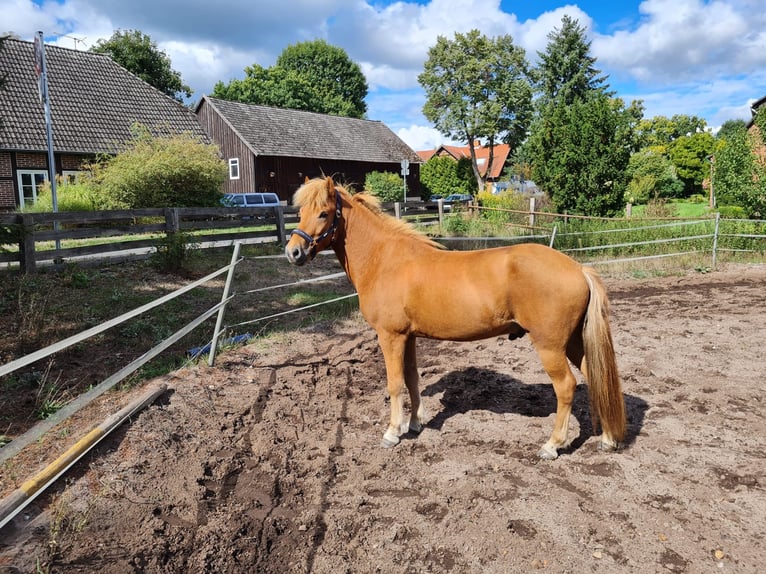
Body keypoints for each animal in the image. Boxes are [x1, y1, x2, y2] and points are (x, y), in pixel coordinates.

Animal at [284, 178, 628, 462]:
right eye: (300, 211)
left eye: (324, 213)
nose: (293, 252)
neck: (384, 260)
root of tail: (578, 269)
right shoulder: (408, 337)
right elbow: (412, 379)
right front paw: (415, 423)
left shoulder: (390, 336)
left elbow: (394, 383)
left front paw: (392, 432)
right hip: (573, 342)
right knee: (595, 378)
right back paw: (607, 439)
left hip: (551, 346)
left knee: (566, 387)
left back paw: (552, 445)